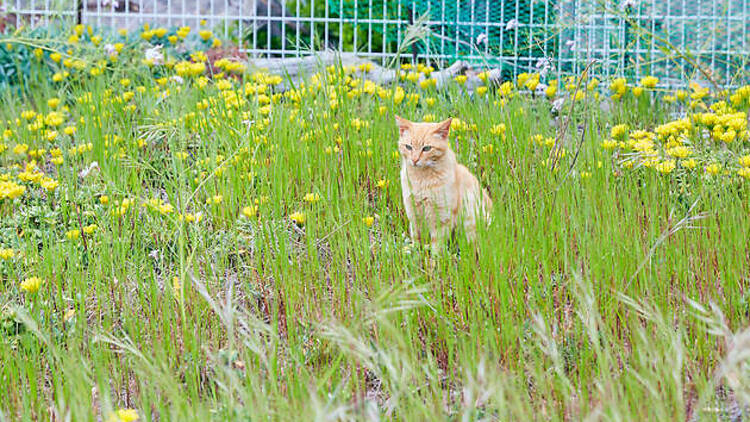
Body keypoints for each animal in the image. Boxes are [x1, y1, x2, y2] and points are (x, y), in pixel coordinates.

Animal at [394, 114, 494, 251]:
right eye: (408, 147)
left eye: (426, 148)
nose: (414, 160)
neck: (421, 179)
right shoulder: (414, 215)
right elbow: (417, 239)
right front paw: (416, 253)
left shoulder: (442, 218)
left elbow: (437, 246)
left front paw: (434, 257)